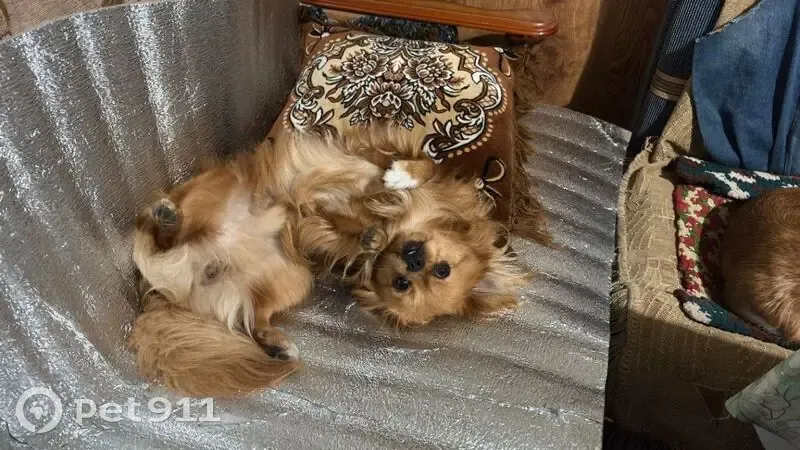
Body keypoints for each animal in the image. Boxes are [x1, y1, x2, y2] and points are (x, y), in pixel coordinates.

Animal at [130, 126, 528, 397]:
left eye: (402, 285)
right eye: (442, 269)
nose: (413, 263)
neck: (394, 219)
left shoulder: (329, 241)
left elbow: (342, 231)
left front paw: (367, 235)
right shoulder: (373, 151)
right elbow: (427, 162)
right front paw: (403, 176)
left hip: (294, 277)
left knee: (250, 319)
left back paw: (276, 344)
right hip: (209, 193)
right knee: (154, 235)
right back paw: (168, 218)